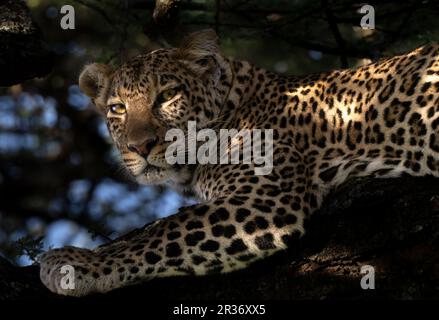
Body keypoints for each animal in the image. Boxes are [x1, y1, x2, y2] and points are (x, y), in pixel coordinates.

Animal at [38, 28, 439, 296]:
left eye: (168, 95)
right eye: (117, 108)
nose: (140, 146)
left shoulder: (263, 198)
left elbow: (161, 231)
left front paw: (76, 263)